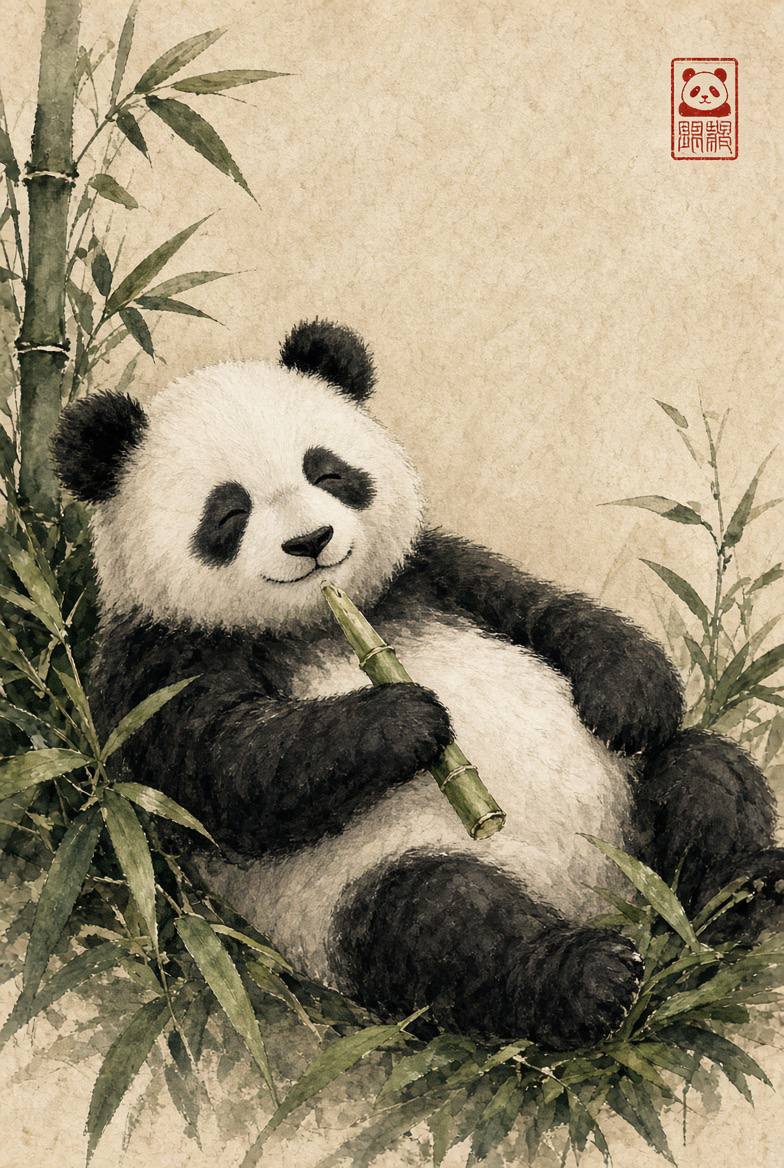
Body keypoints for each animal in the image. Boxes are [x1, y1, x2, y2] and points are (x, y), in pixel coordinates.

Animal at [51, 320, 783, 1050]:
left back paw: (743, 891)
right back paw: (590, 976)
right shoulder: (160, 663)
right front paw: (407, 718)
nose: (311, 540)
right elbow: (228, 771)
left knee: (704, 774)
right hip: (348, 895)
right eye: (229, 513)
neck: (317, 619)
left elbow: (541, 607)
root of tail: (602, 898)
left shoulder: (426, 572)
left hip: (629, 806)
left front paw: (628, 698)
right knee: (442, 923)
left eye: (329, 472)